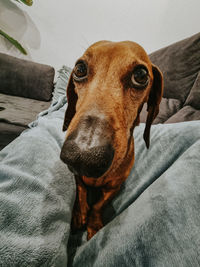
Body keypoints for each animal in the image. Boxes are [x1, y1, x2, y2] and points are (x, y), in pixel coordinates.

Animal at [60, 40, 163, 242]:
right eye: (80, 69)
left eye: (140, 75)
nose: (82, 157)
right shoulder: (76, 176)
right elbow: (81, 190)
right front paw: (79, 214)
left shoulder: (114, 187)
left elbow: (98, 204)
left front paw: (93, 224)